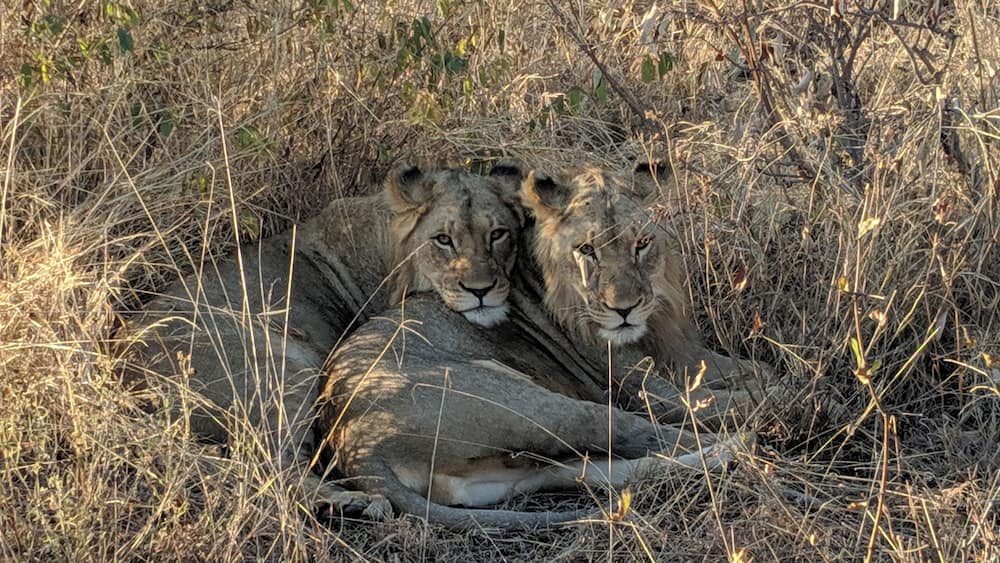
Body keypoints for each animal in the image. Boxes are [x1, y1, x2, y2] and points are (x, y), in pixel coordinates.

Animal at [122, 162, 524, 515]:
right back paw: (349, 502)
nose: (481, 290)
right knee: (271, 464)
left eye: (498, 234)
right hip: (285, 368)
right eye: (444, 240)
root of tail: (126, 382)